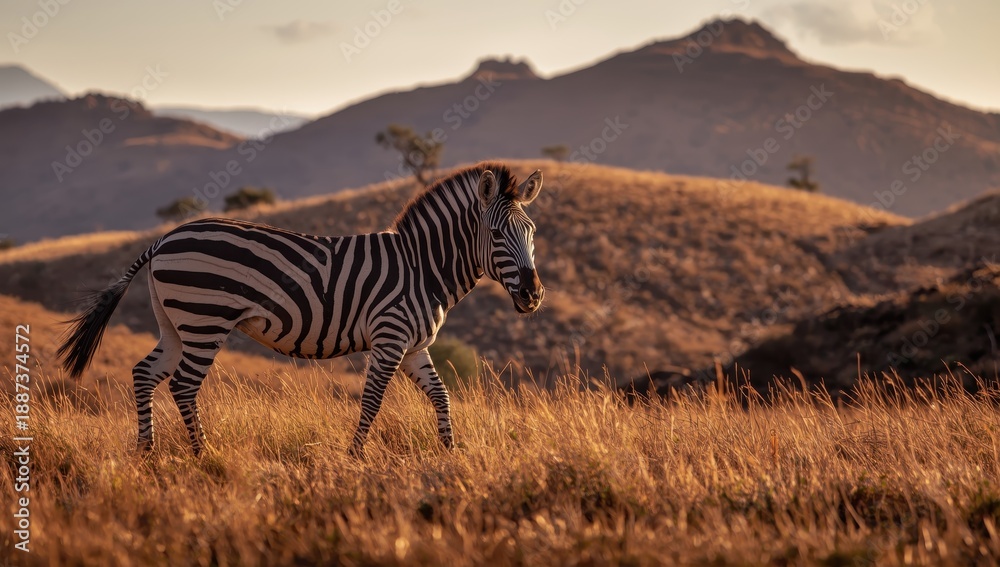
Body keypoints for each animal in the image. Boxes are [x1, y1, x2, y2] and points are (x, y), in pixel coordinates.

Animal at [59, 162, 545, 456]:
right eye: (497, 234)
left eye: (532, 231)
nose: (533, 294)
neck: (421, 266)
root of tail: (164, 238)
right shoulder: (389, 338)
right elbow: (372, 401)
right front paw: (355, 457)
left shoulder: (414, 346)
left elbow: (441, 395)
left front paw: (449, 454)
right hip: (204, 320)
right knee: (182, 384)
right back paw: (202, 455)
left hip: (174, 324)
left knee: (144, 373)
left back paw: (148, 453)